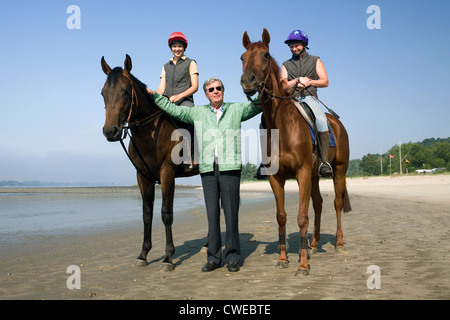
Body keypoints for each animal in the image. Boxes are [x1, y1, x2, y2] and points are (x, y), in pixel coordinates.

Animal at [100, 54, 199, 270]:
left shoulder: (167, 173)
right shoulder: (143, 176)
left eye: (126, 92)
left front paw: (168, 257)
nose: (110, 131)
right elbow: (147, 214)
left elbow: (166, 213)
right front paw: (143, 254)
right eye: (103, 93)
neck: (150, 133)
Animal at [243, 28, 352, 276]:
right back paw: (314, 244)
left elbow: (302, 217)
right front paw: (283, 258)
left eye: (265, 55)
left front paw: (302, 265)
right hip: (314, 176)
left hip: (338, 171)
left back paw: (339, 243)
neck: (282, 126)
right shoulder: (276, 178)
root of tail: (337, 123)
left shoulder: (301, 173)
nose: (247, 81)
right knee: (319, 203)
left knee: (336, 203)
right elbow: (281, 217)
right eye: (242, 57)